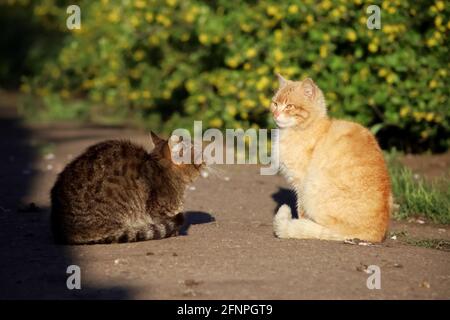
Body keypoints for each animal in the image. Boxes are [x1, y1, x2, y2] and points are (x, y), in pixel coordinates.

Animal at [50, 131, 202, 244]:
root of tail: (61, 230)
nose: (203, 160)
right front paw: (173, 232)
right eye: (196, 156)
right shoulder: (157, 211)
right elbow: (165, 221)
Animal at [270, 75, 390, 242]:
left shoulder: (302, 185)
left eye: (289, 106)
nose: (275, 114)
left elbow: (301, 211)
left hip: (313, 189)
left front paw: (299, 224)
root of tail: (376, 234)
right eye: (275, 104)